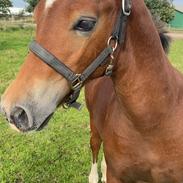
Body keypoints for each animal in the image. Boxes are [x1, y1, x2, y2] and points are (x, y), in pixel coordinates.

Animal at [0, 0, 183, 182]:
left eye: (85, 23)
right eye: (36, 17)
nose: (12, 110)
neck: (152, 124)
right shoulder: (116, 175)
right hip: (94, 122)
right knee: (95, 145)